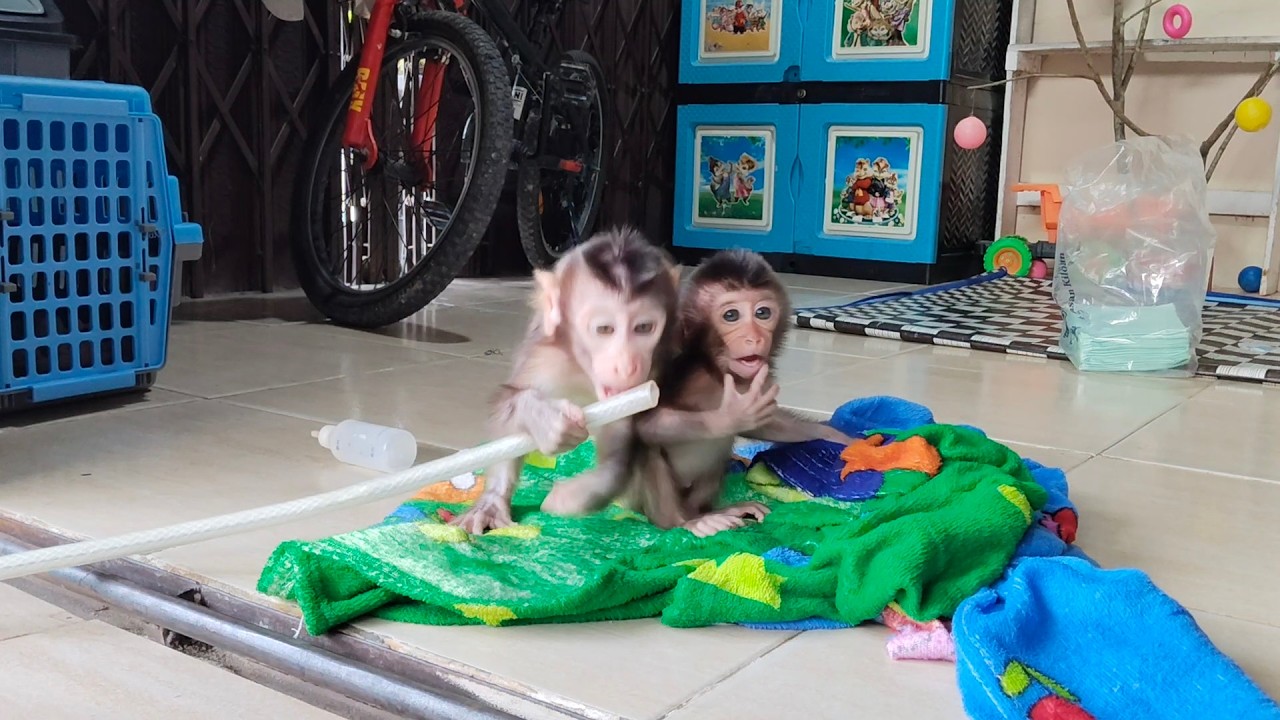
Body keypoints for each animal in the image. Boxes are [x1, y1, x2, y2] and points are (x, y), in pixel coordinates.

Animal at [451, 227, 681, 535]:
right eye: (605, 329)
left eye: (644, 327)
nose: (627, 364)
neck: (585, 374)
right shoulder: (545, 359)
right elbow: (508, 409)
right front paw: (542, 418)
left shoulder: (656, 368)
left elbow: (625, 445)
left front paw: (572, 495)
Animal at [542, 249, 853, 537]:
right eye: (731, 316)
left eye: (762, 313)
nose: (754, 337)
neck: (714, 369)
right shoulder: (672, 363)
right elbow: (643, 421)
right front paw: (729, 417)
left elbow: (765, 424)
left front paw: (835, 435)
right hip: (639, 499)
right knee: (645, 447)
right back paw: (686, 522)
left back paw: (714, 511)